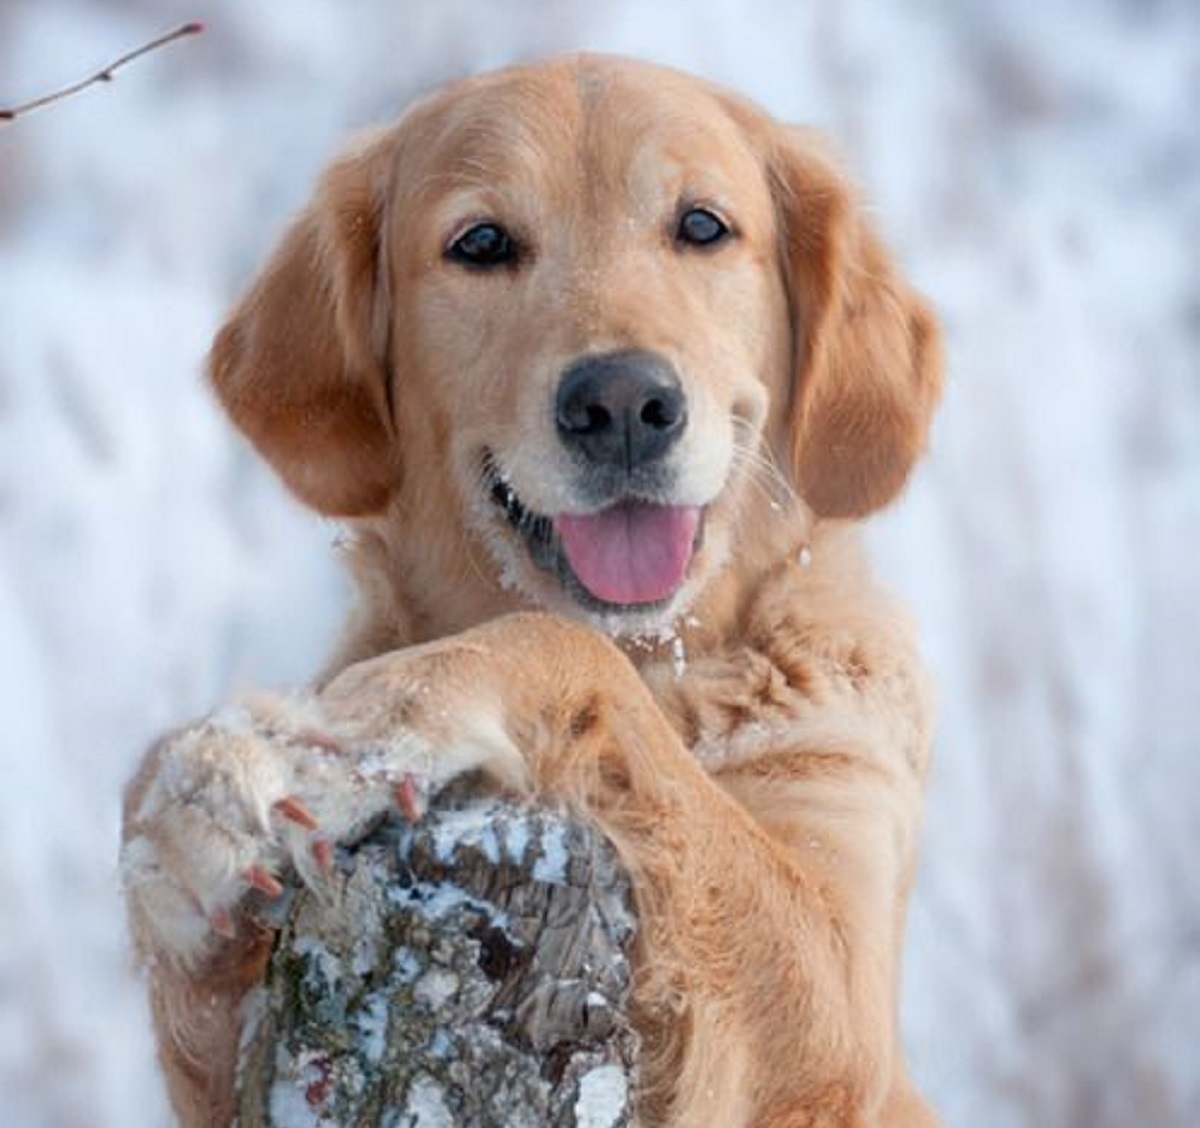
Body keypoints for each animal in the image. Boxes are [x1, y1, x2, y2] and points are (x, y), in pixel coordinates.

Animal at [124, 55, 945, 1128]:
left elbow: (564, 648)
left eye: (702, 225)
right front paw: (193, 817)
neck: (668, 665)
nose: (624, 403)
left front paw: (388, 715)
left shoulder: (841, 1001)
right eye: (481, 243)